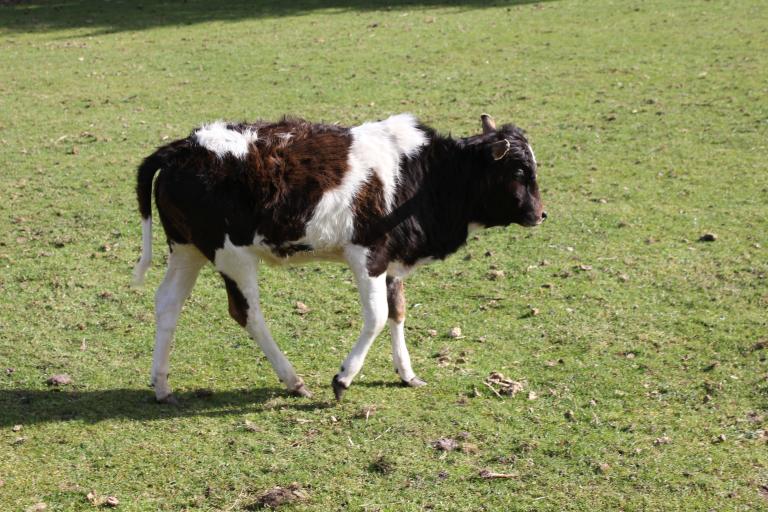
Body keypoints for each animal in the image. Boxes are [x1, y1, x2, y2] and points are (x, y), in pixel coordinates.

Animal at [132, 113, 544, 404]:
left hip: (187, 248)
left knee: (168, 303)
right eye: (519, 170)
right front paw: (343, 378)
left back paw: (162, 386)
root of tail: (182, 147)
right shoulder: (368, 255)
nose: (541, 214)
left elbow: (397, 312)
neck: (423, 175)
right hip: (232, 254)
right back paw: (293, 380)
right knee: (247, 313)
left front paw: (407, 373)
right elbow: (377, 316)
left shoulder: (391, 261)